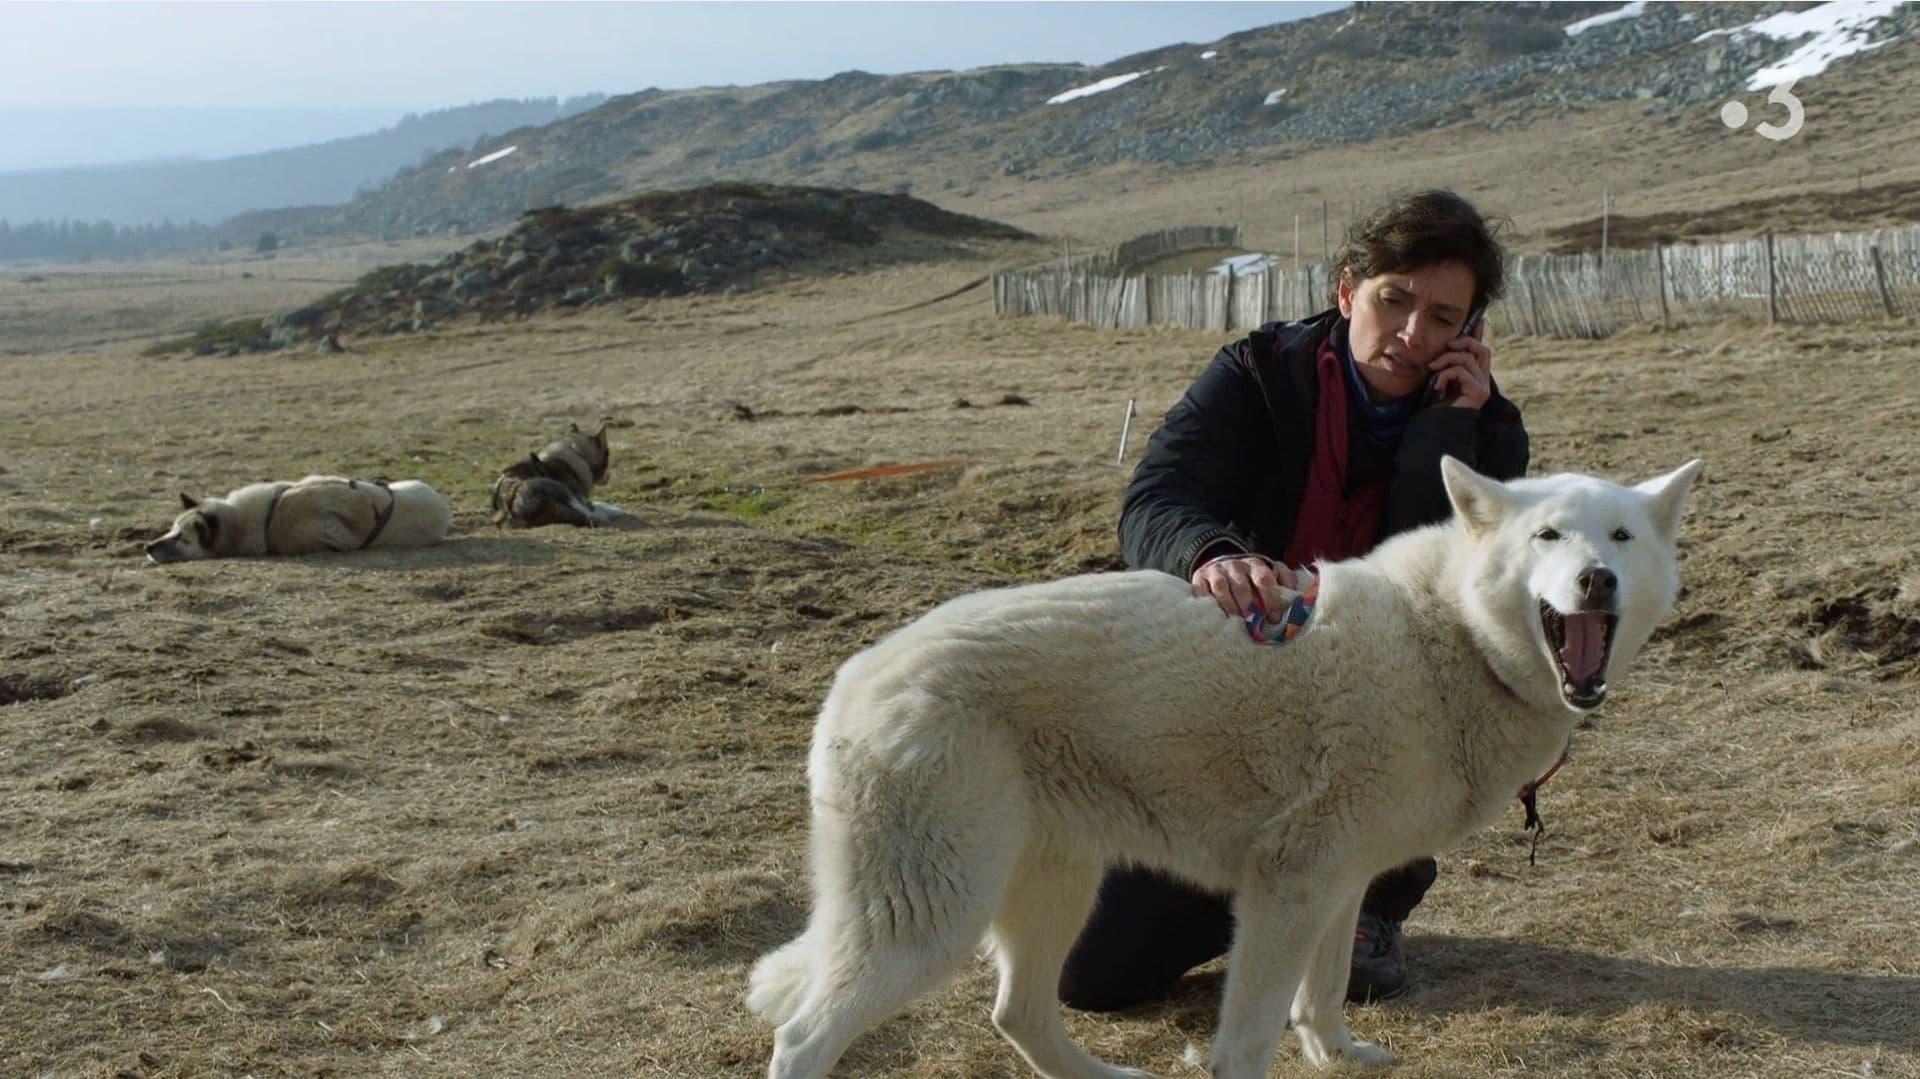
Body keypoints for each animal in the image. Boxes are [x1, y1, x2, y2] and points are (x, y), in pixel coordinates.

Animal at [491, 416, 641, 526]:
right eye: (608, 453)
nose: (608, 476)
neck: (576, 453)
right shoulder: (581, 499)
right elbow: (597, 505)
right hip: (565, 493)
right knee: (592, 514)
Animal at [748, 455, 1712, 1075]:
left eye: (1620, 537)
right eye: (1548, 535)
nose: (1596, 580)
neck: (1448, 635)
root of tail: (855, 679)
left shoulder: (1338, 883)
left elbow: (1324, 993)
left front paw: (1338, 1056)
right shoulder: (1287, 889)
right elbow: (1248, 1039)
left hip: (1051, 890)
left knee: (1015, 1013)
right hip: (934, 919)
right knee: (804, 1039)